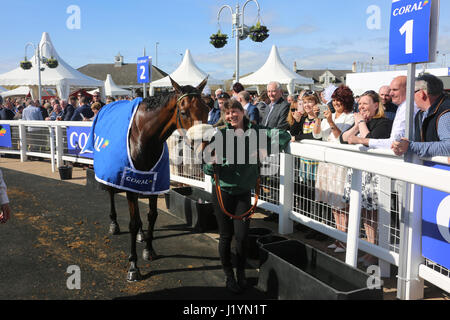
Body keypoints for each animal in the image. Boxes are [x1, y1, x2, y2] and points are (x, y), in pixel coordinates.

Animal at [101, 77, 208, 280]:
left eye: (207, 109)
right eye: (183, 112)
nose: (203, 146)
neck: (143, 138)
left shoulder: (154, 182)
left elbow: (151, 215)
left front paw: (149, 249)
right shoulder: (130, 184)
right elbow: (133, 222)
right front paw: (133, 266)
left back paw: (141, 235)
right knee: (110, 192)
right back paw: (113, 224)